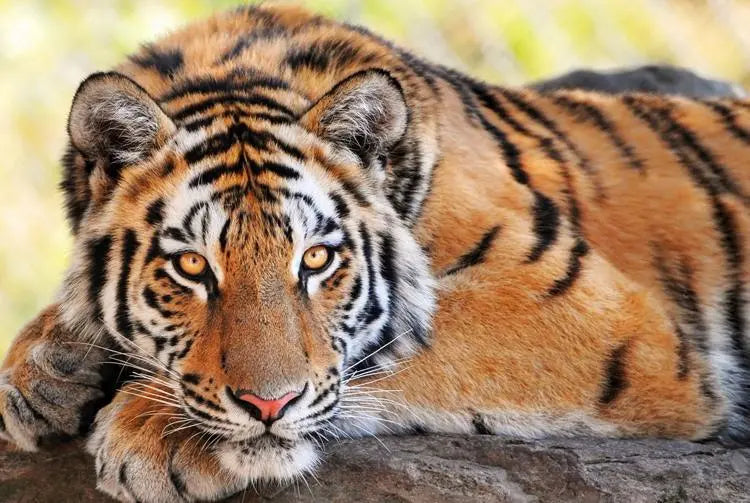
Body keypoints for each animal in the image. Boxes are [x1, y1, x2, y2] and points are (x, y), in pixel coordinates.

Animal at [1, 4, 749, 502]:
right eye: (192, 266)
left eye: (315, 260)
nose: (268, 406)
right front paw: (45, 370)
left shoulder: (597, 315)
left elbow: (395, 348)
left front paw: (155, 431)